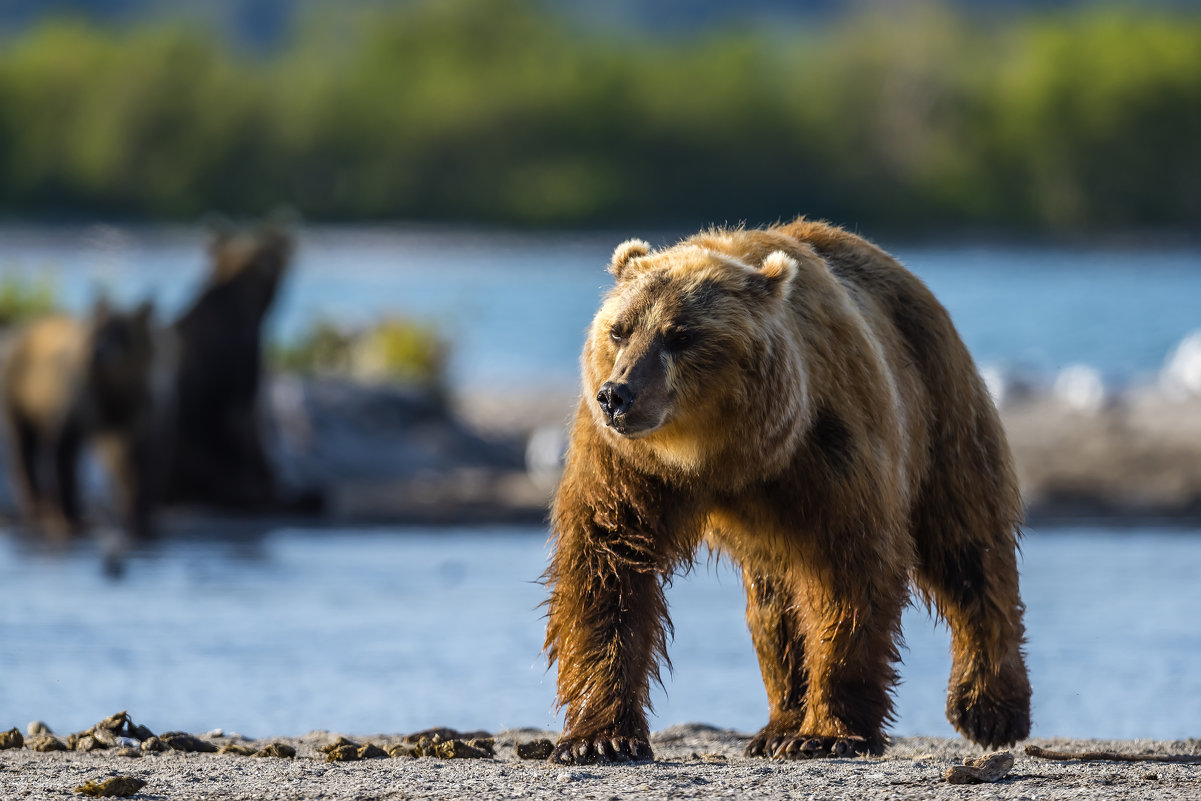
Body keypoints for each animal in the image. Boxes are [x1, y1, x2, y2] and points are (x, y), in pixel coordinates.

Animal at [545, 217, 1032, 763]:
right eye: (619, 329)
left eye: (681, 335)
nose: (617, 395)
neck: (722, 454)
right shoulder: (625, 465)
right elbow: (607, 568)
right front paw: (599, 737)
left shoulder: (829, 446)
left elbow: (849, 571)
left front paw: (827, 733)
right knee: (775, 610)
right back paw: (777, 725)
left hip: (940, 408)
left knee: (967, 548)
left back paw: (989, 709)